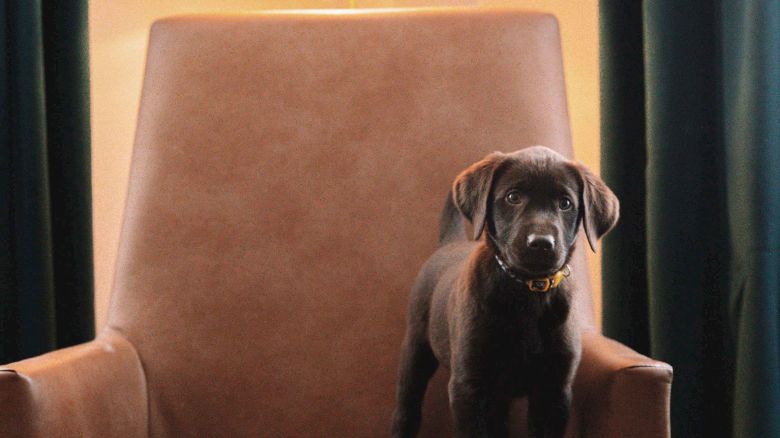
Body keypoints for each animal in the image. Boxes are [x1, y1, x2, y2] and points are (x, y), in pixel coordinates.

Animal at [394, 147, 620, 438]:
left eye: (565, 203)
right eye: (513, 197)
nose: (541, 244)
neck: (528, 289)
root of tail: (450, 243)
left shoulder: (554, 391)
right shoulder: (469, 387)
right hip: (416, 351)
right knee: (407, 409)